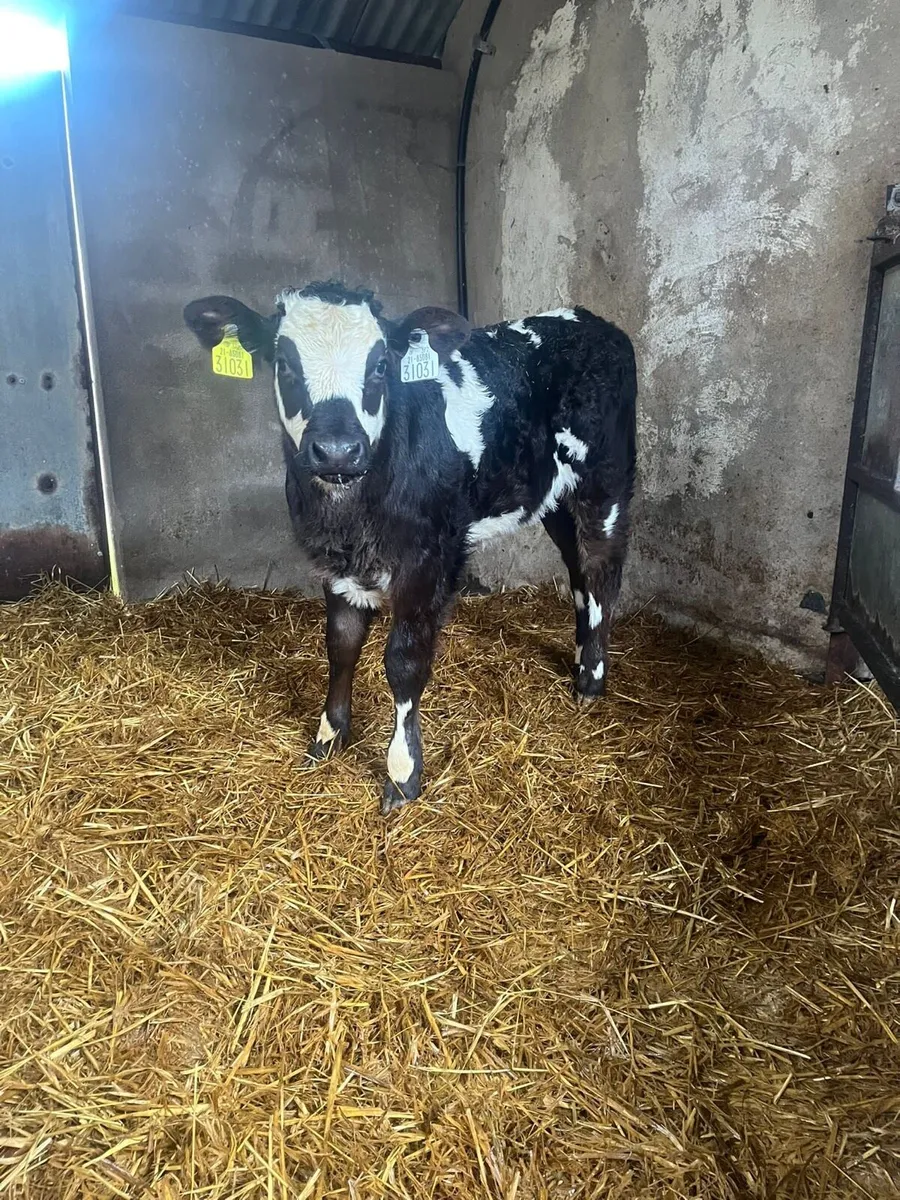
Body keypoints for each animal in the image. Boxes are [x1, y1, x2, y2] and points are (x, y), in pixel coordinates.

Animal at [184, 282, 637, 815]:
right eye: (283, 362)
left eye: (381, 364)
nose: (337, 450)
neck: (352, 514)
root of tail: (586, 318)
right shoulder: (336, 561)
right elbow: (341, 645)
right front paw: (328, 737)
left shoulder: (427, 561)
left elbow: (403, 663)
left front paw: (401, 775)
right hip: (551, 496)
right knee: (578, 571)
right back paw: (581, 656)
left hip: (605, 480)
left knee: (602, 569)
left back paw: (591, 680)